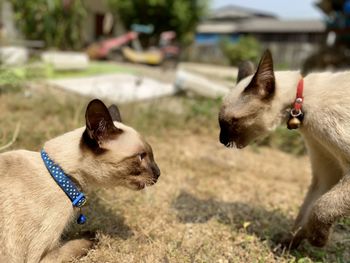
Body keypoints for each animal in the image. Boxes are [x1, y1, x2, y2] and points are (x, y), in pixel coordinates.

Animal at [0, 99, 160, 263]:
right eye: (141, 156)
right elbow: (80, 241)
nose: (158, 173)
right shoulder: (38, 257)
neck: (61, 176)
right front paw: (92, 234)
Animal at [220, 50, 350, 250]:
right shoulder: (326, 173)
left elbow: (321, 207)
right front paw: (286, 245)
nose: (221, 140)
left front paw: (318, 240)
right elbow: (307, 212)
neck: (302, 102)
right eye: (221, 123)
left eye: (231, 123)